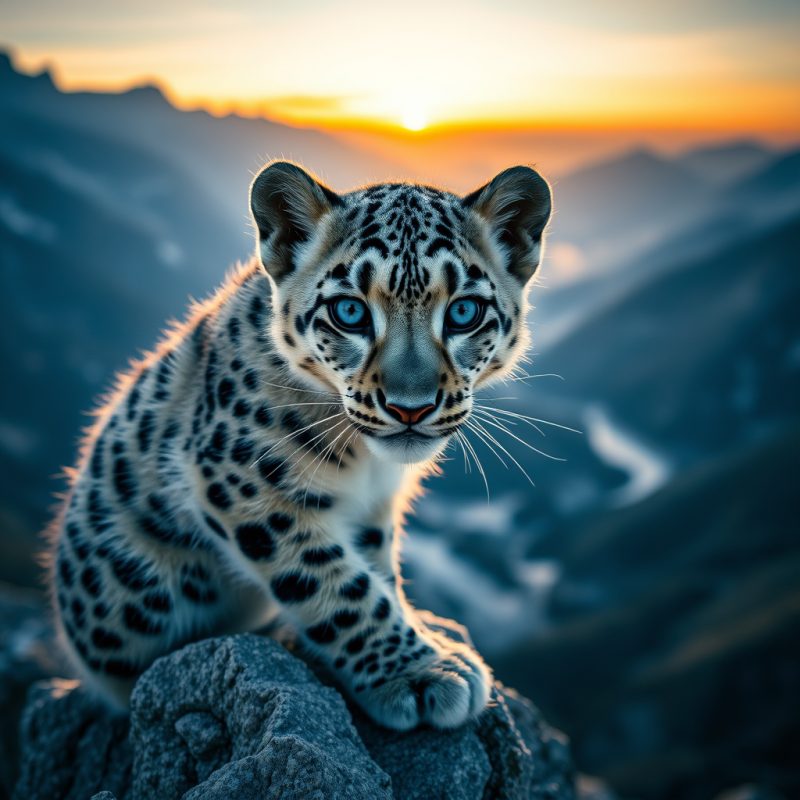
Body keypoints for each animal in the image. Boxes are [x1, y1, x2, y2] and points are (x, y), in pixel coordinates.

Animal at [48, 160, 552, 730]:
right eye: (350, 312)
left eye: (465, 311)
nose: (411, 407)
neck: (366, 466)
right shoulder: (245, 482)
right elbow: (337, 585)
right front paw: (424, 672)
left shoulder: (372, 508)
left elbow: (374, 565)